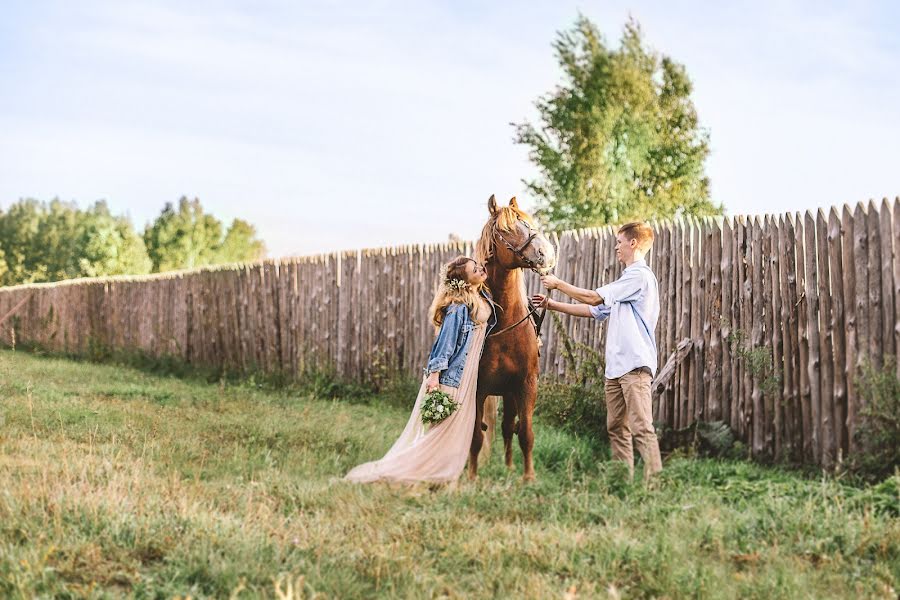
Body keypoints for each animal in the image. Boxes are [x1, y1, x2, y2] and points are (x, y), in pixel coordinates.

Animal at [472, 195, 556, 480]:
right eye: (506, 229)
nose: (546, 253)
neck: (505, 325)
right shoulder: (478, 389)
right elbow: (475, 436)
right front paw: (470, 476)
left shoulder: (526, 385)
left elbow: (525, 433)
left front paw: (528, 477)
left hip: (509, 394)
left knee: (509, 427)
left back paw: (509, 468)